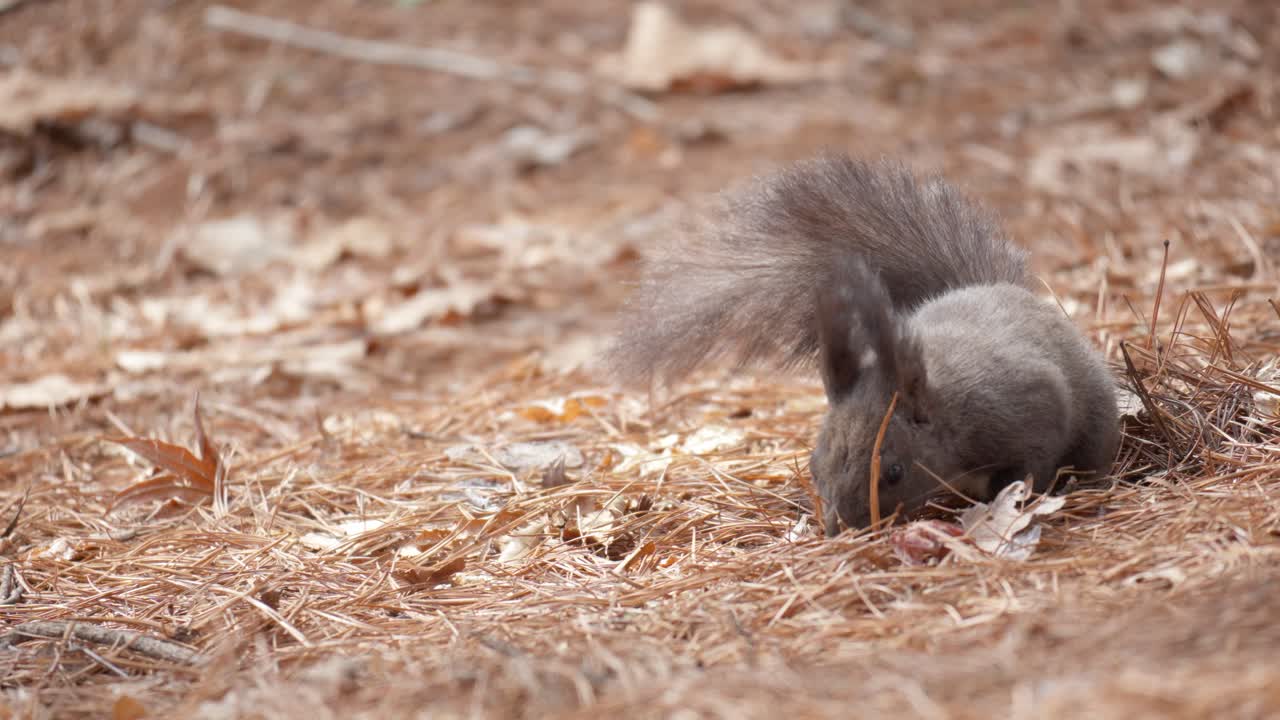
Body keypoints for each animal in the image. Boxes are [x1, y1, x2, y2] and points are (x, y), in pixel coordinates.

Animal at [605, 154, 1121, 536]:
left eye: (893, 472)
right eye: (814, 466)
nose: (843, 528)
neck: (945, 407)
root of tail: (995, 288)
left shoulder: (1025, 407)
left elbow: (1032, 461)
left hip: (1095, 416)